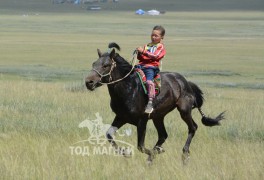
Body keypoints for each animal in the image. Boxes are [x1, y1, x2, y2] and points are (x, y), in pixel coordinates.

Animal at [85, 43, 225, 164]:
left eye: (106, 65)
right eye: (94, 63)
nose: (89, 82)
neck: (129, 88)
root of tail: (186, 82)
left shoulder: (142, 120)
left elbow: (140, 146)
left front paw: (151, 153)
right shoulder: (121, 117)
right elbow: (109, 135)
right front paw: (127, 152)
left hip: (184, 110)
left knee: (193, 127)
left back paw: (184, 154)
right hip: (158, 116)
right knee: (163, 135)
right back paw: (157, 151)